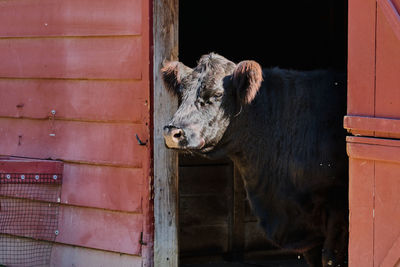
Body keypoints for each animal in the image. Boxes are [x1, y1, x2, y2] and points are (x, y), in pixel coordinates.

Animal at [161, 52, 348, 267]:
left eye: (217, 95)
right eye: (181, 93)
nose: (171, 132)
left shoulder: (339, 211)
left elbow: (330, 258)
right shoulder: (308, 234)